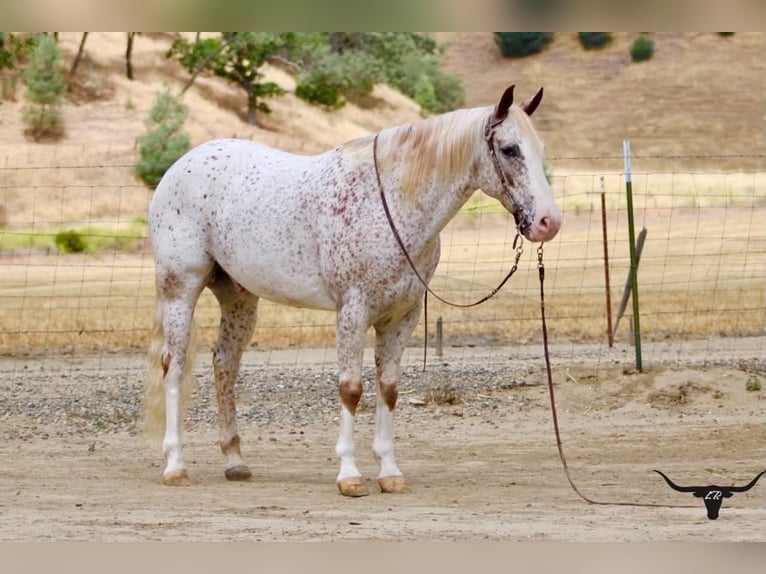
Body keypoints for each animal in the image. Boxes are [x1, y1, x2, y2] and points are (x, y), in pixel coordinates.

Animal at [145, 84, 561, 497]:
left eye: (540, 148)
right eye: (509, 149)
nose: (548, 222)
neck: (390, 202)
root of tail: (179, 167)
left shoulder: (402, 317)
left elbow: (388, 389)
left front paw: (389, 472)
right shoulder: (353, 311)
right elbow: (351, 388)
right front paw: (350, 475)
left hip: (239, 297)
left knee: (225, 364)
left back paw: (234, 461)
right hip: (181, 290)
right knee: (174, 368)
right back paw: (175, 465)